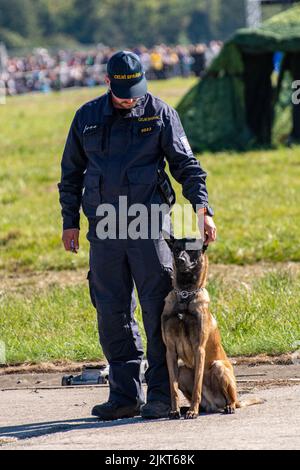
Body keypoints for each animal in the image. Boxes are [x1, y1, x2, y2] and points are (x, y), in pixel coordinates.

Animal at [162, 235, 262, 418]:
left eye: (192, 250)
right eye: (177, 249)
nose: (180, 260)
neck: (185, 296)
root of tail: (213, 405)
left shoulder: (199, 349)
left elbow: (197, 386)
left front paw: (192, 411)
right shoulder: (170, 351)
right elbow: (173, 387)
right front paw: (174, 410)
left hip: (218, 367)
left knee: (231, 399)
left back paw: (226, 407)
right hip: (183, 370)